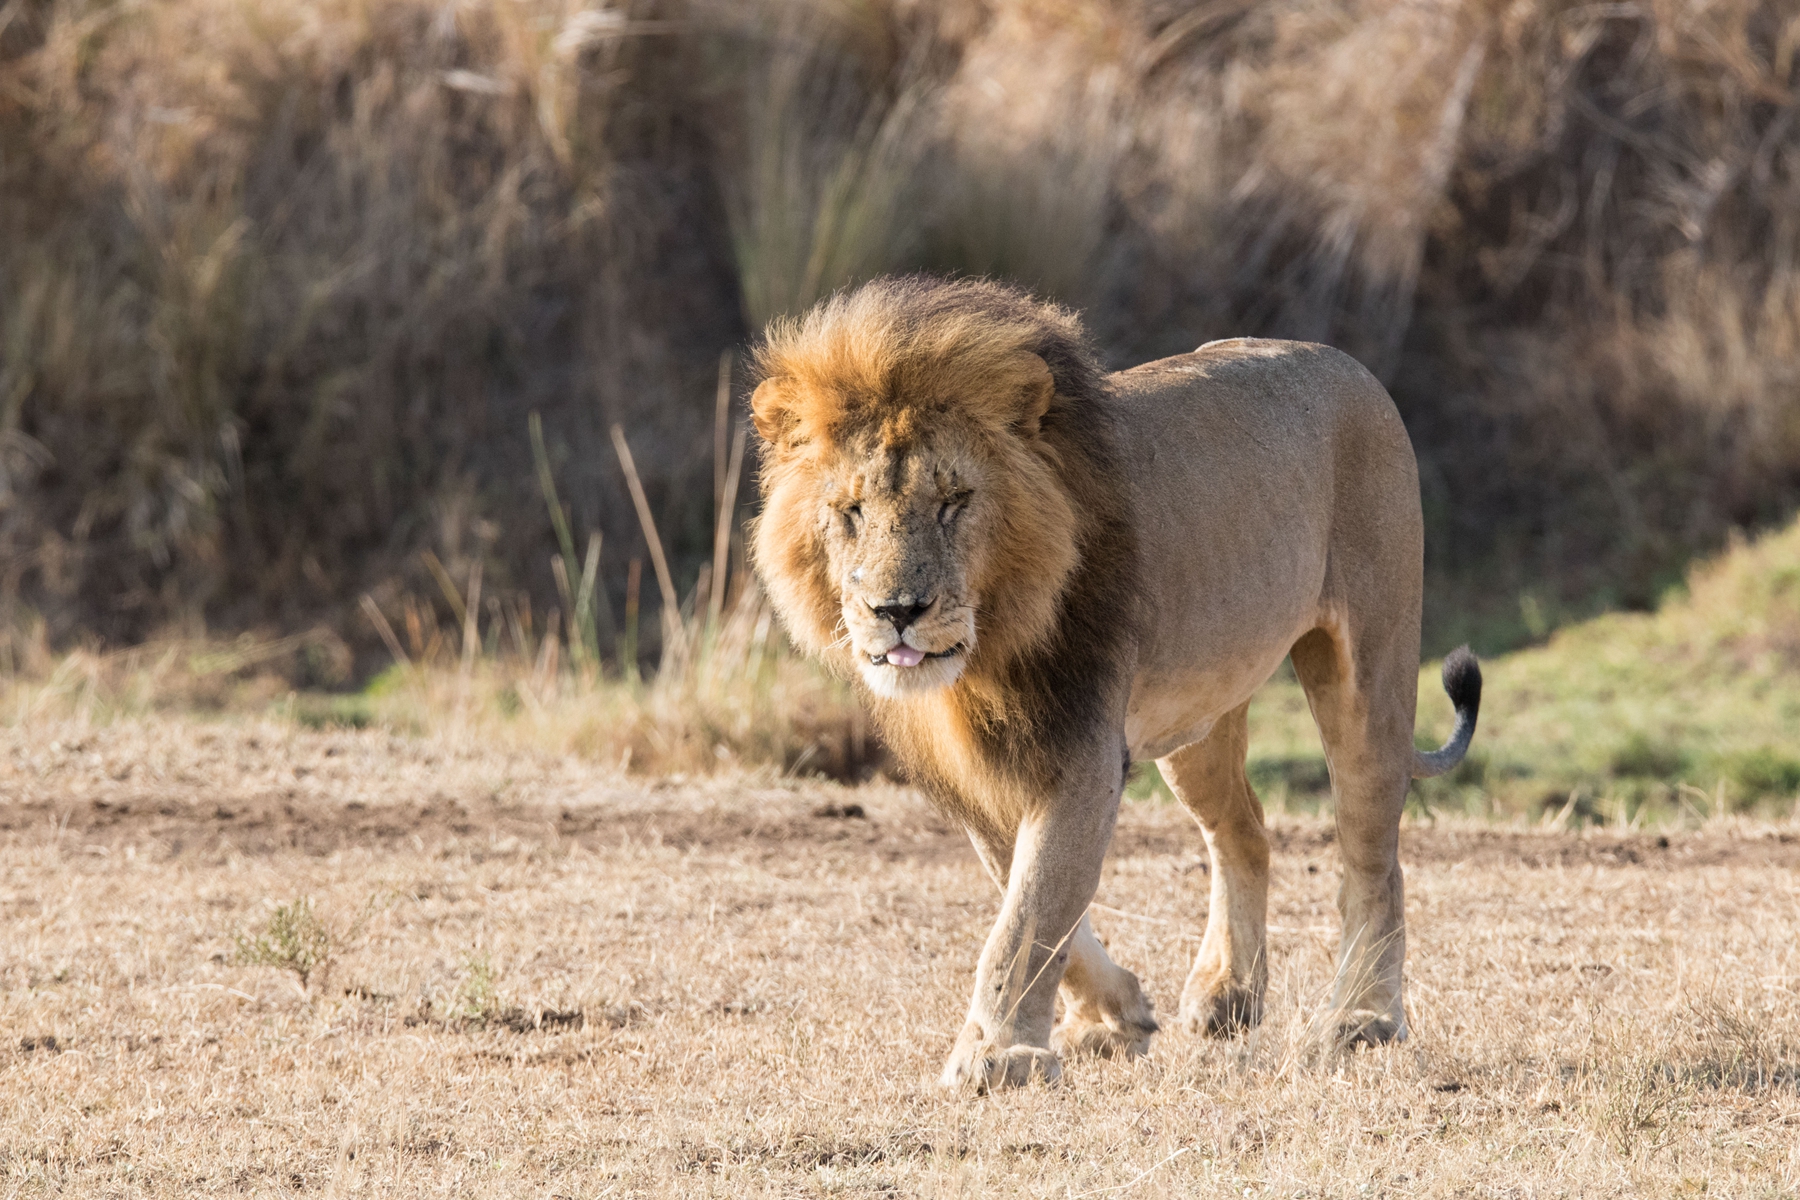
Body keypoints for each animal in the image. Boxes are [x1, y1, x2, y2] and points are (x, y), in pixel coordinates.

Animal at [741, 277, 1476, 1093]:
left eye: (954, 501)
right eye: (850, 511)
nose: (897, 611)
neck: (986, 656)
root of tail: (1350, 365)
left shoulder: (1081, 747)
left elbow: (1031, 913)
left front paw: (997, 1054)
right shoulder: (984, 767)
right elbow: (1029, 891)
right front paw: (1112, 1016)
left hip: (1368, 668)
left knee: (1373, 857)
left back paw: (1361, 1019)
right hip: (1198, 713)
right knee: (1244, 830)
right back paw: (1228, 995)